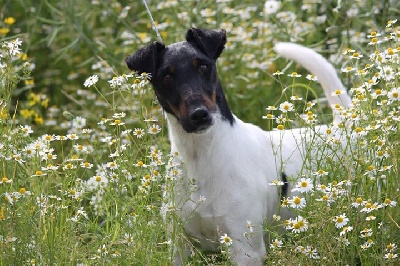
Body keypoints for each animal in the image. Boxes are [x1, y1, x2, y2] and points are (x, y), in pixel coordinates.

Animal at [126, 28, 352, 264]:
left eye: (204, 66)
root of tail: (342, 126)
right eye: (166, 76)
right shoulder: (179, 246)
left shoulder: (245, 249)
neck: (201, 156)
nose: (199, 115)